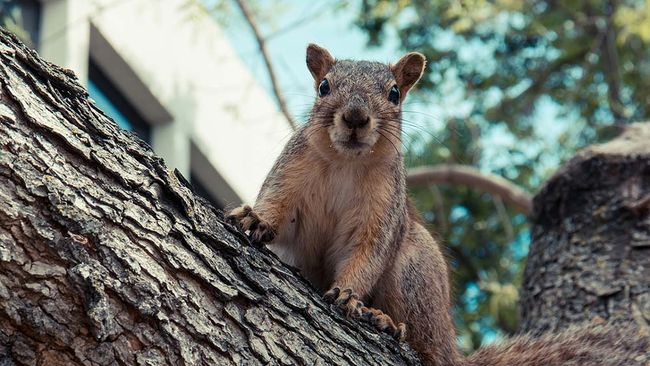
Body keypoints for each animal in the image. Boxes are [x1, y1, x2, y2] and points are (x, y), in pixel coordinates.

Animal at [225, 44, 644, 364]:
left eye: (395, 93)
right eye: (324, 86)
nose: (356, 118)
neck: (347, 162)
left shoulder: (384, 212)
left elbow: (367, 254)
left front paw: (348, 295)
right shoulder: (291, 174)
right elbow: (277, 208)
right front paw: (255, 219)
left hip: (416, 271)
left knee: (425, 347)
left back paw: (385, 321)